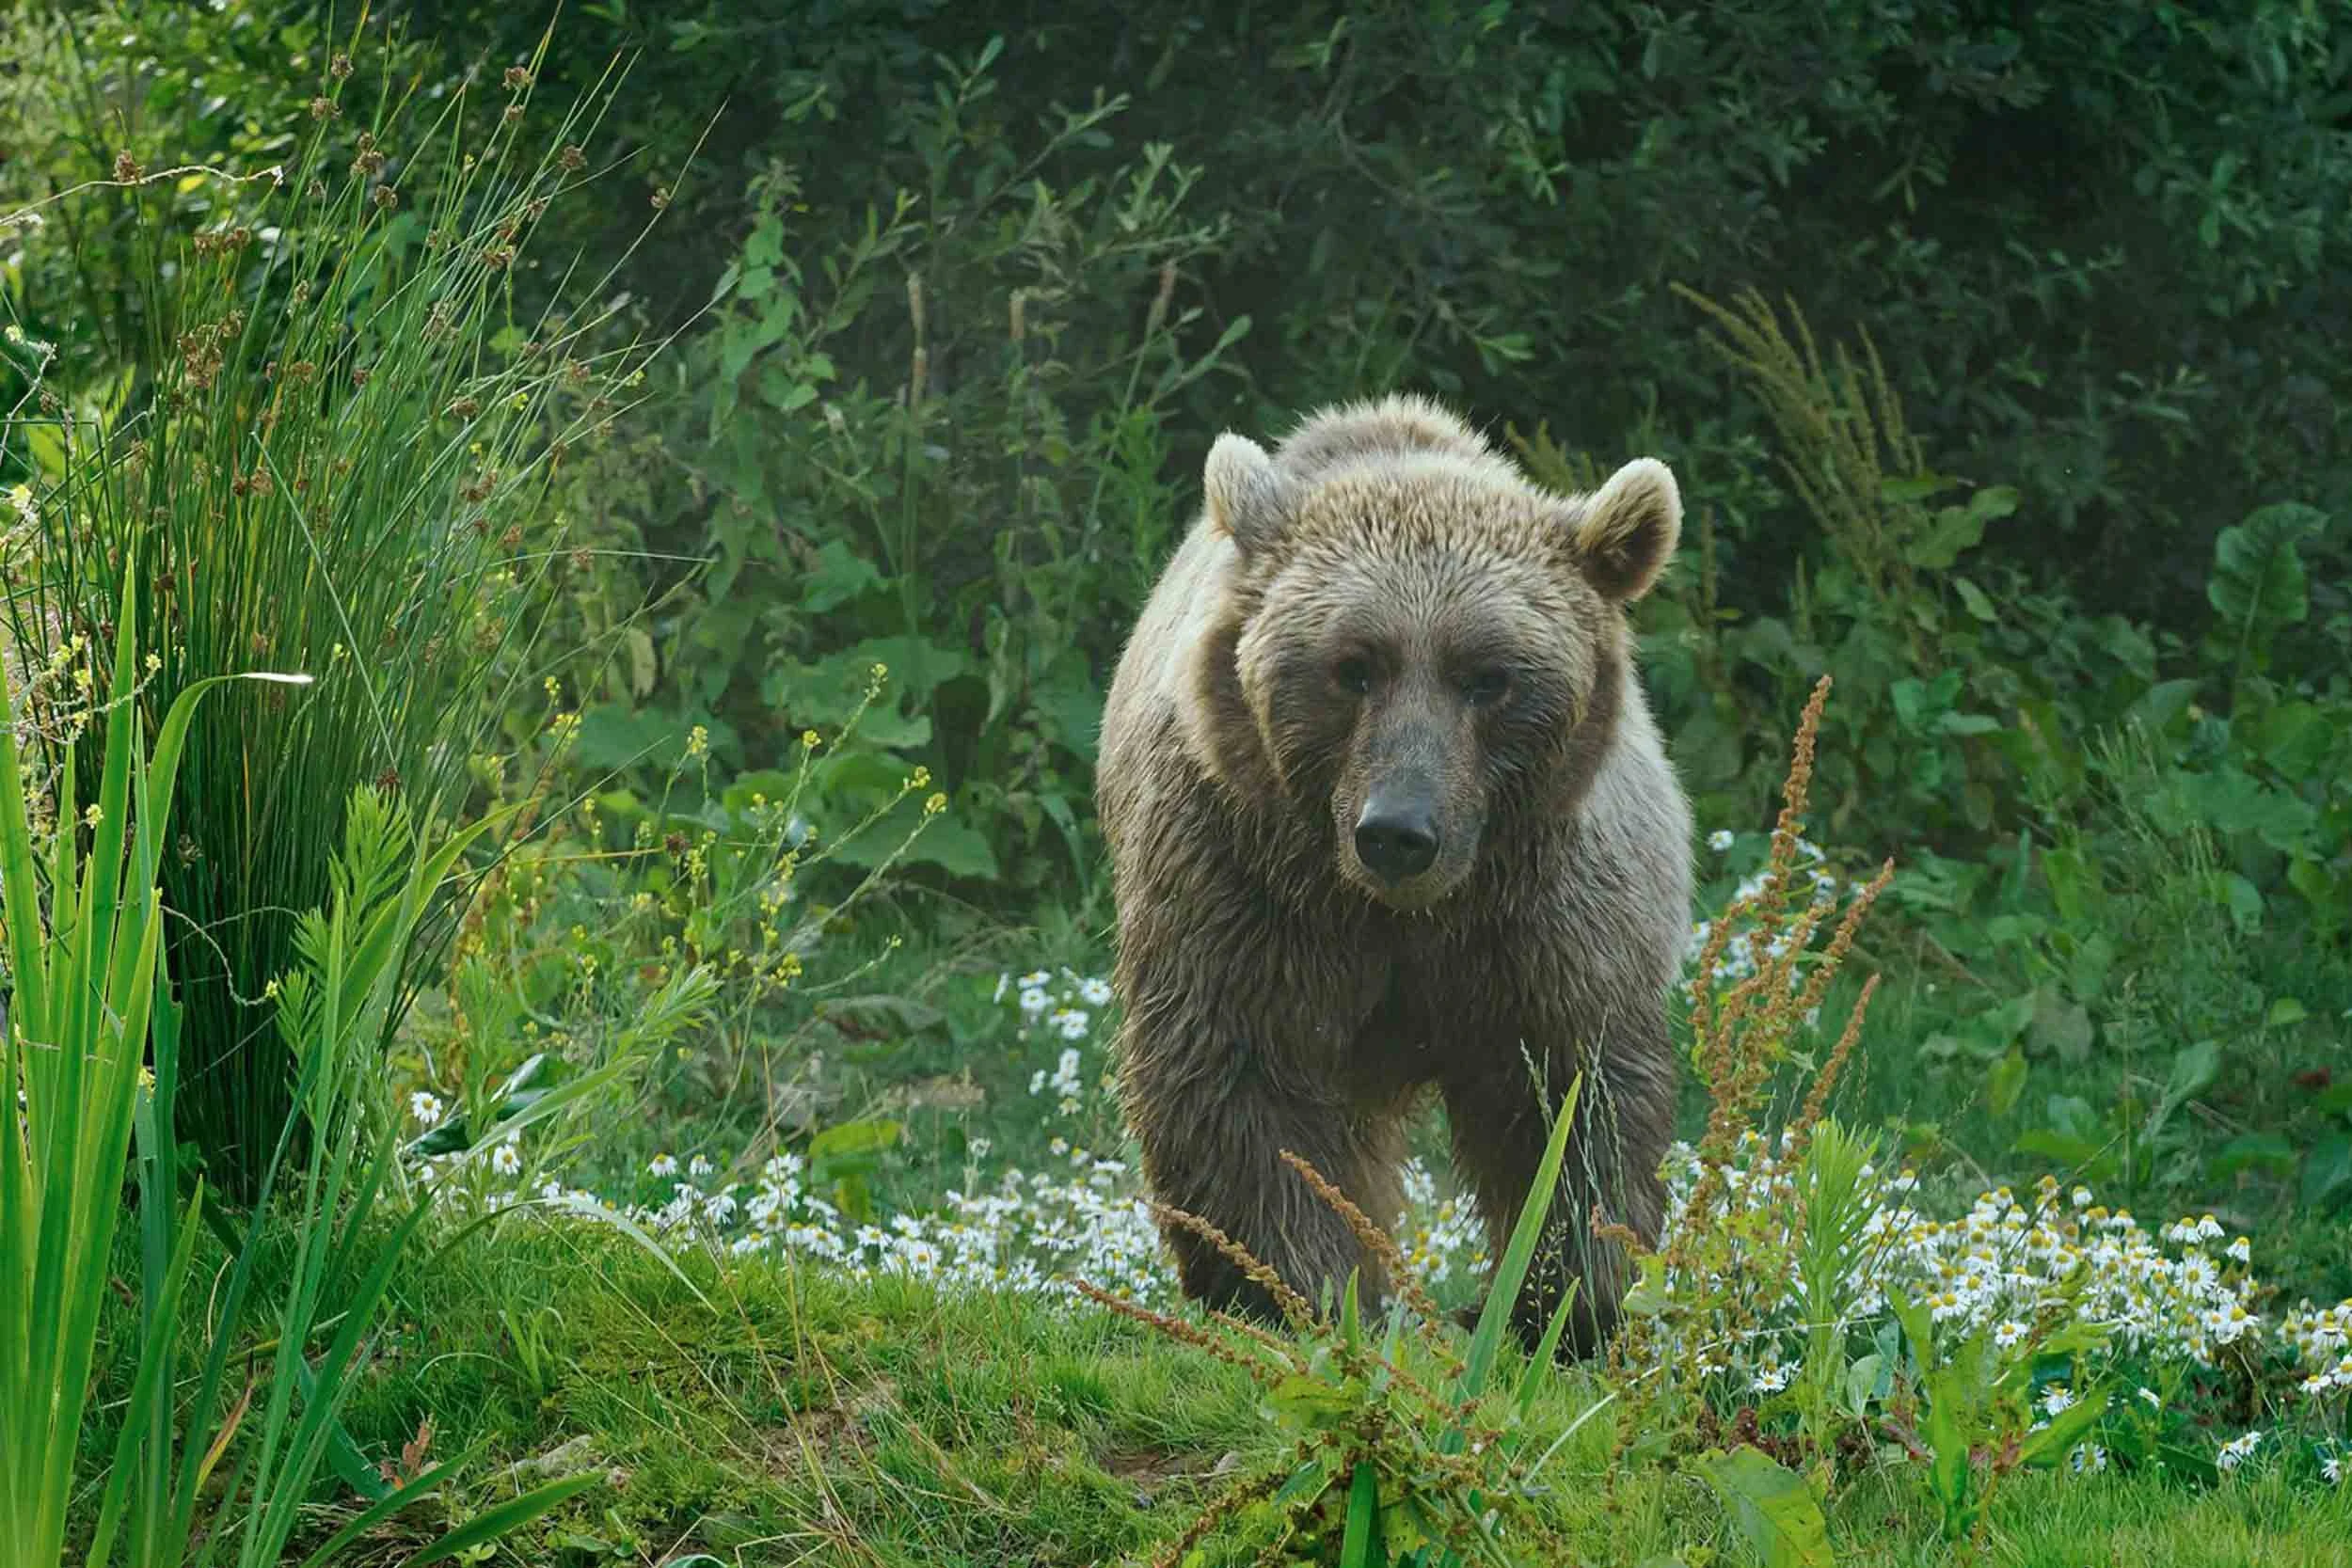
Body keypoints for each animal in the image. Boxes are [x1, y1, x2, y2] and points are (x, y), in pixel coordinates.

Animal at [1094, 392, 1693, 1357]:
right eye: (1353, 666)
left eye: (1488, 676)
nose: (1398, 832)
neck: (1406, 915)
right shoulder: (1244, 881)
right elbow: (1240, 1072)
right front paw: (1292, 1285)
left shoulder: (1546, 912)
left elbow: (1570, 1091)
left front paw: (1562, 1302)